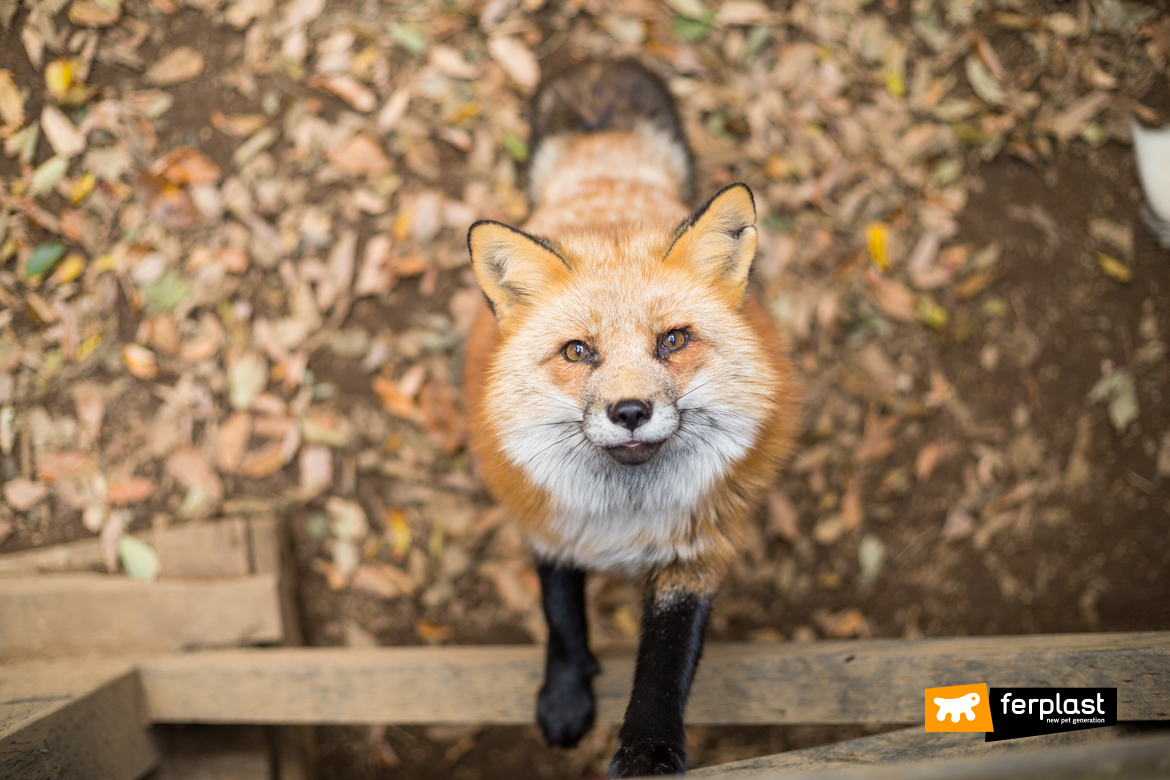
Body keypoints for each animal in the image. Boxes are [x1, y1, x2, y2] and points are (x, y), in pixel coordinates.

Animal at [460, 59, 800, 776]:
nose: (631, 411)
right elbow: (561, 615)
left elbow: (665, 664)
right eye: (577, 351)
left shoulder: (697, 550)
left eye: (672, 340)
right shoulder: (548, 520)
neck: (625, 515)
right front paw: (564, 698)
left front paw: (648, 750)